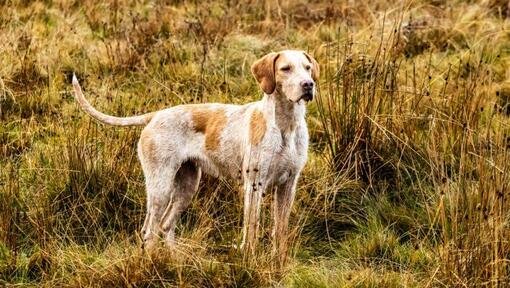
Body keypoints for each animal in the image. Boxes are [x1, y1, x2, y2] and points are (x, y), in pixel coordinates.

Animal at [71, 49, 318, 254]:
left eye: (307, 67)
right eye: (285, 69)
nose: (308, 84)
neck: (286, 125)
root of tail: (155, 116)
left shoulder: (288, 186)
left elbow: (281, 232)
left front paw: (279, 263)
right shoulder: (253, 186)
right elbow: (252, 230)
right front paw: (250, 260)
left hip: (187, 187)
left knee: (166, 225)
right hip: (160, 188)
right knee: (149, 230)